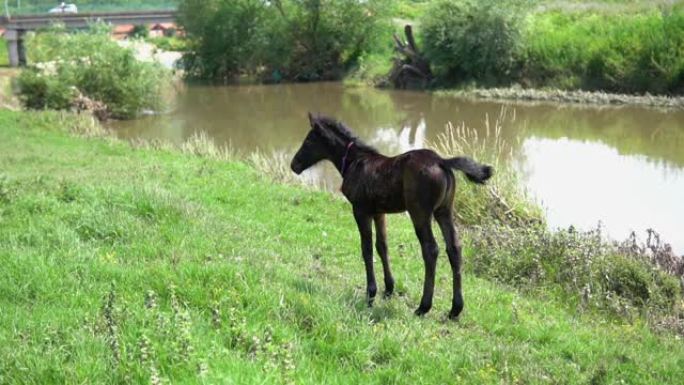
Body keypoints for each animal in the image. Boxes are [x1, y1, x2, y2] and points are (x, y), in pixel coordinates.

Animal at [290, 114, 492, 318]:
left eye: (309, 141)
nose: (294, 165)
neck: (353, 162)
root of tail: (441, 161)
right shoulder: (379, 213)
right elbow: (382, 246)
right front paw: (388, 289)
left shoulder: (360, 210)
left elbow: (367, 249)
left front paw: (370, 294)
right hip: (444, 210)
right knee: (454, 248)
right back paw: (455, 309)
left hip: (420, 212)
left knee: (431, 249)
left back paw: (423, 306)